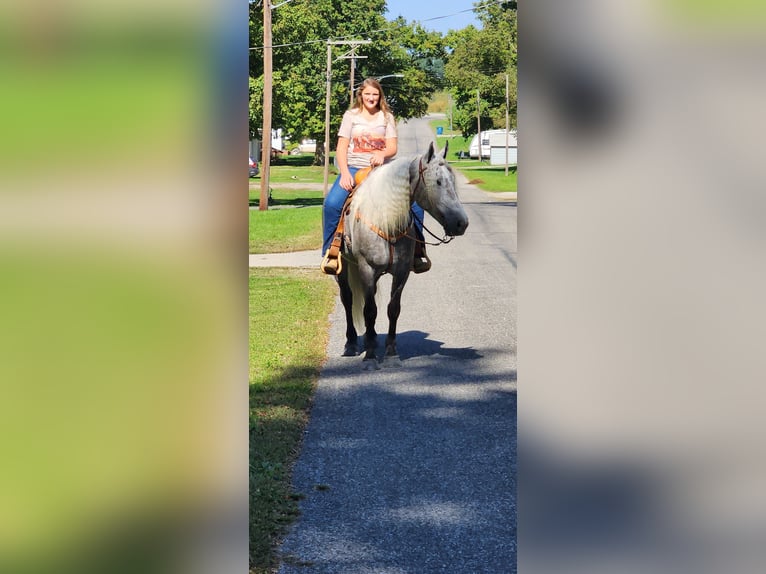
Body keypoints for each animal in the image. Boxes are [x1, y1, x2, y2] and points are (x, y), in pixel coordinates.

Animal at [340, 142, 472, 366]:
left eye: (452, 181)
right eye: (437, 181)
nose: (461, 223)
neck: (386, 221)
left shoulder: (402, 271)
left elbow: (393, 309)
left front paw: (391, 353)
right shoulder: (367, 269)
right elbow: (369, 310)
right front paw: (370, 355)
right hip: (342, 267)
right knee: (348, 299)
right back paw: (351, 343)